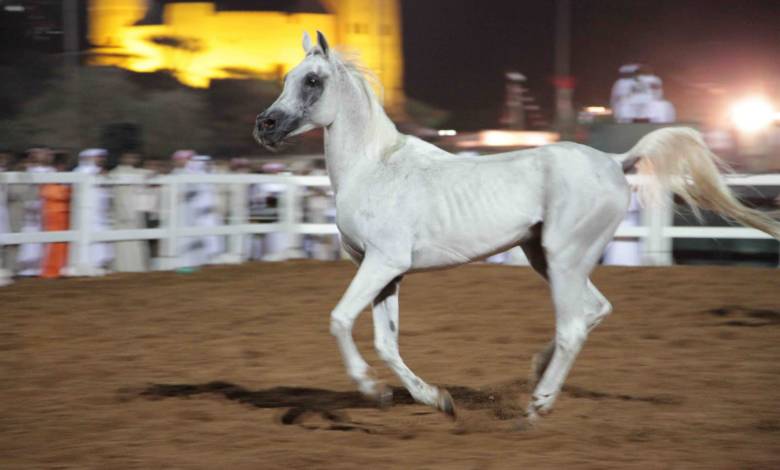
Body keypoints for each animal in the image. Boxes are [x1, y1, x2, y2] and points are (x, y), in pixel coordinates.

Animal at [256, 32, 780, 422]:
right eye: (287, 78)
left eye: (313, 80)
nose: (265, 125)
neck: (375, 167)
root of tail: (616, 160)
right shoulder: (386, 271)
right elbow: (387, 342)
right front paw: (435, 399)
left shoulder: (382, 263)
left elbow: (340, 319)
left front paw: (371, 390)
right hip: (545, 257)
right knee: (595, 309)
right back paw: (536, 372)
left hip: (565, 259)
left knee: (574, 324)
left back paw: (538, 404)